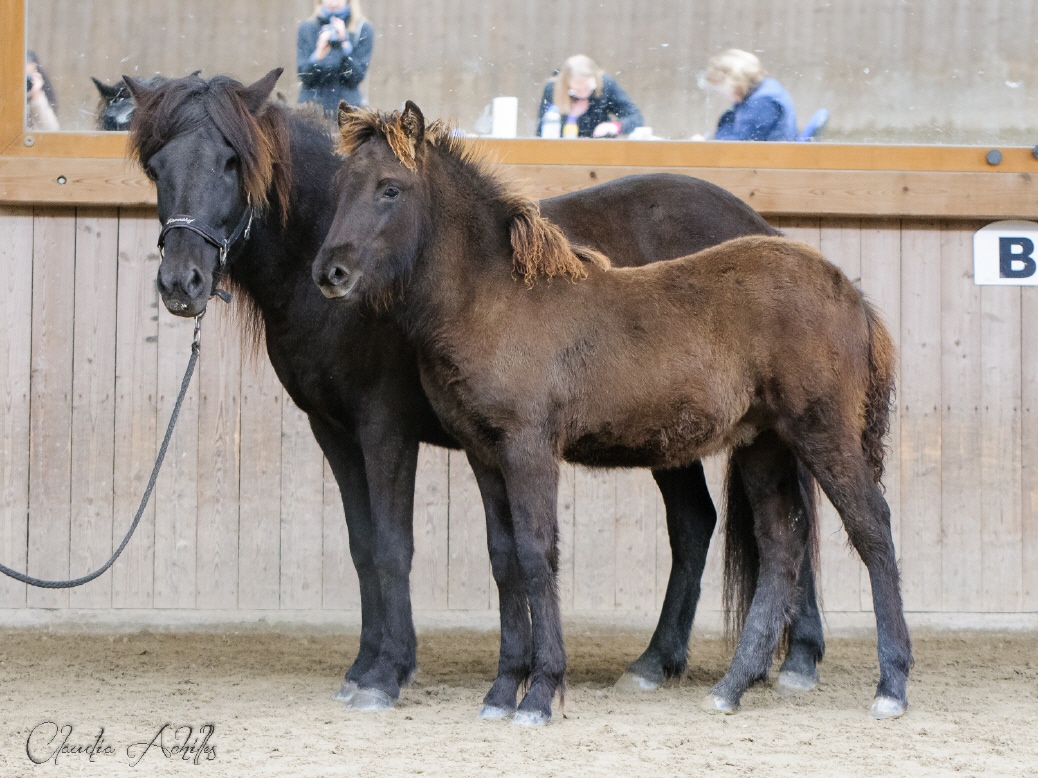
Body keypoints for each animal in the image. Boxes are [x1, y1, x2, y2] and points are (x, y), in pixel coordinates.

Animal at [127, 70, 826, 717]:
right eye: (155, 166)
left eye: (231, 162)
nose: (182, 284)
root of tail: (768, 234)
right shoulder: (335, 432)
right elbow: (362, 547)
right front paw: (364, 666)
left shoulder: (384, 428)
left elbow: (392, 546)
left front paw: (388, 674)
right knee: (701, 524)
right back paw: (665, 661)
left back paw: (792, 661)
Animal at [309, 102, 909, 726]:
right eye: (341, 186)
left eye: (390, 188)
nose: (330, 273)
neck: (495, 300)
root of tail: (851, 294)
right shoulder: (483, 452)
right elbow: (504, 559)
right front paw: (502, 691)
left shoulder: (528, 446)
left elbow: (536, 552)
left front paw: (541, 693)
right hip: (762, 442)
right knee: (781, 546)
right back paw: (731, 686)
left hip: (822, 431)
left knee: (871, 527)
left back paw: (890, 686)